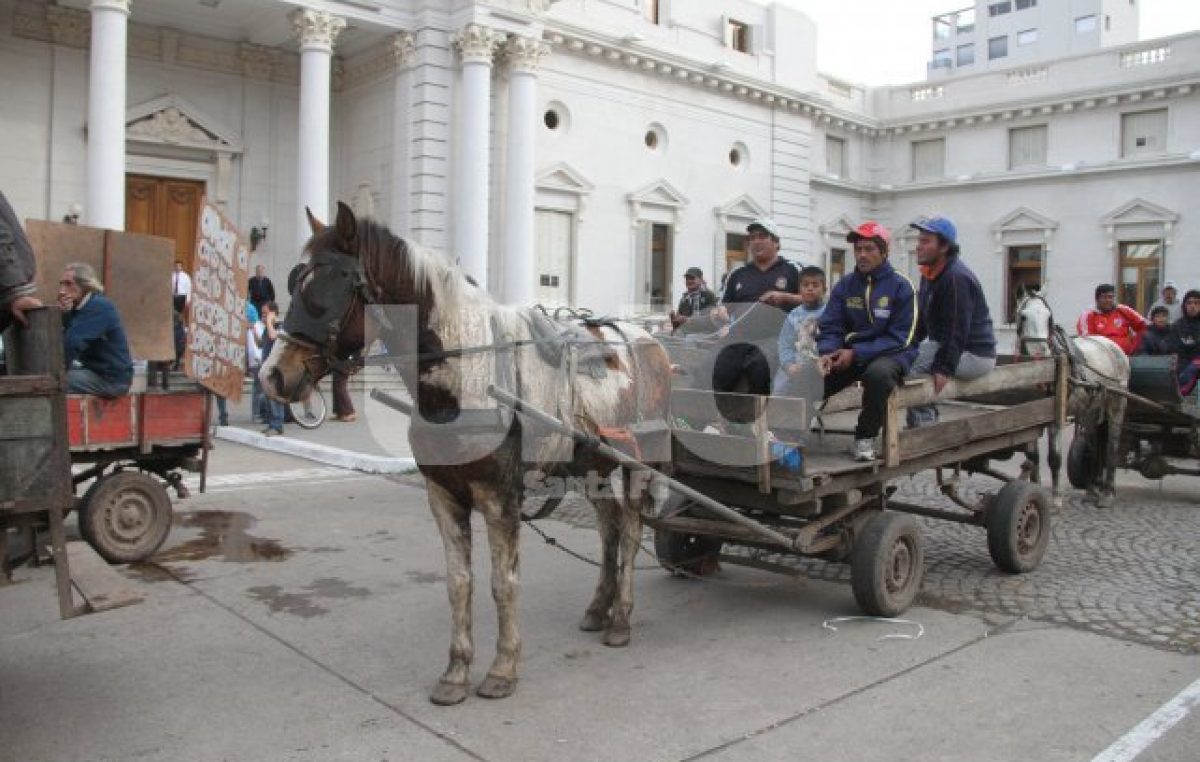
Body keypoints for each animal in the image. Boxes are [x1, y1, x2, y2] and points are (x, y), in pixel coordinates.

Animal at [262, 201, 672, 705]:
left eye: (330, 287)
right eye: (294, 281)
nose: (273, 375)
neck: (467, 373)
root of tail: (649, 340)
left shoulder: (499, 498)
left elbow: (503, 583)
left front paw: (502, 668)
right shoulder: (443, 495)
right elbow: (460, 584)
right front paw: (457, 671)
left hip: (638, 464)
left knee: (631, 532)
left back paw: (621, 618)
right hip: (591, 464)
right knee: (610, 527)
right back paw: (600, 607)